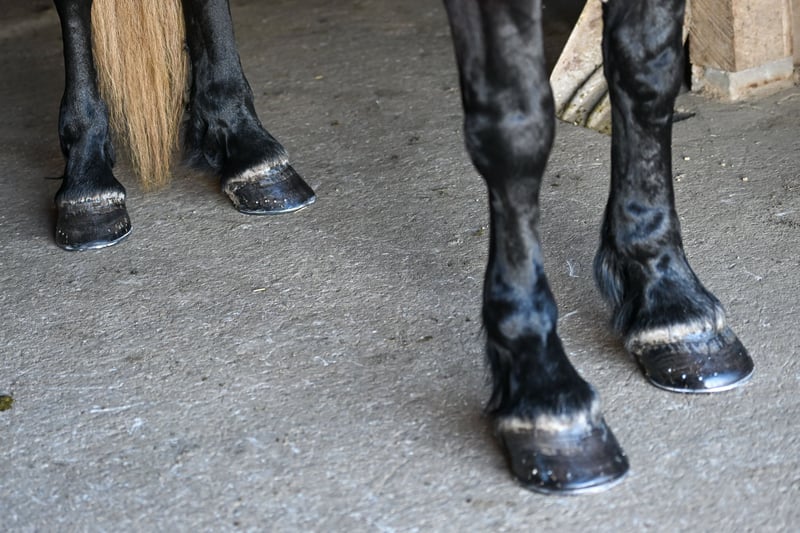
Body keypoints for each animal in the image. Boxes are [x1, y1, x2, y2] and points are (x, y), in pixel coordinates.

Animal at [52, 0, 754, 494]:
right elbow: (516, 125)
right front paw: (543, 389)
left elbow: (647, 68)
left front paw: (669, 301)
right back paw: (87, 182)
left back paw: (245, 144)